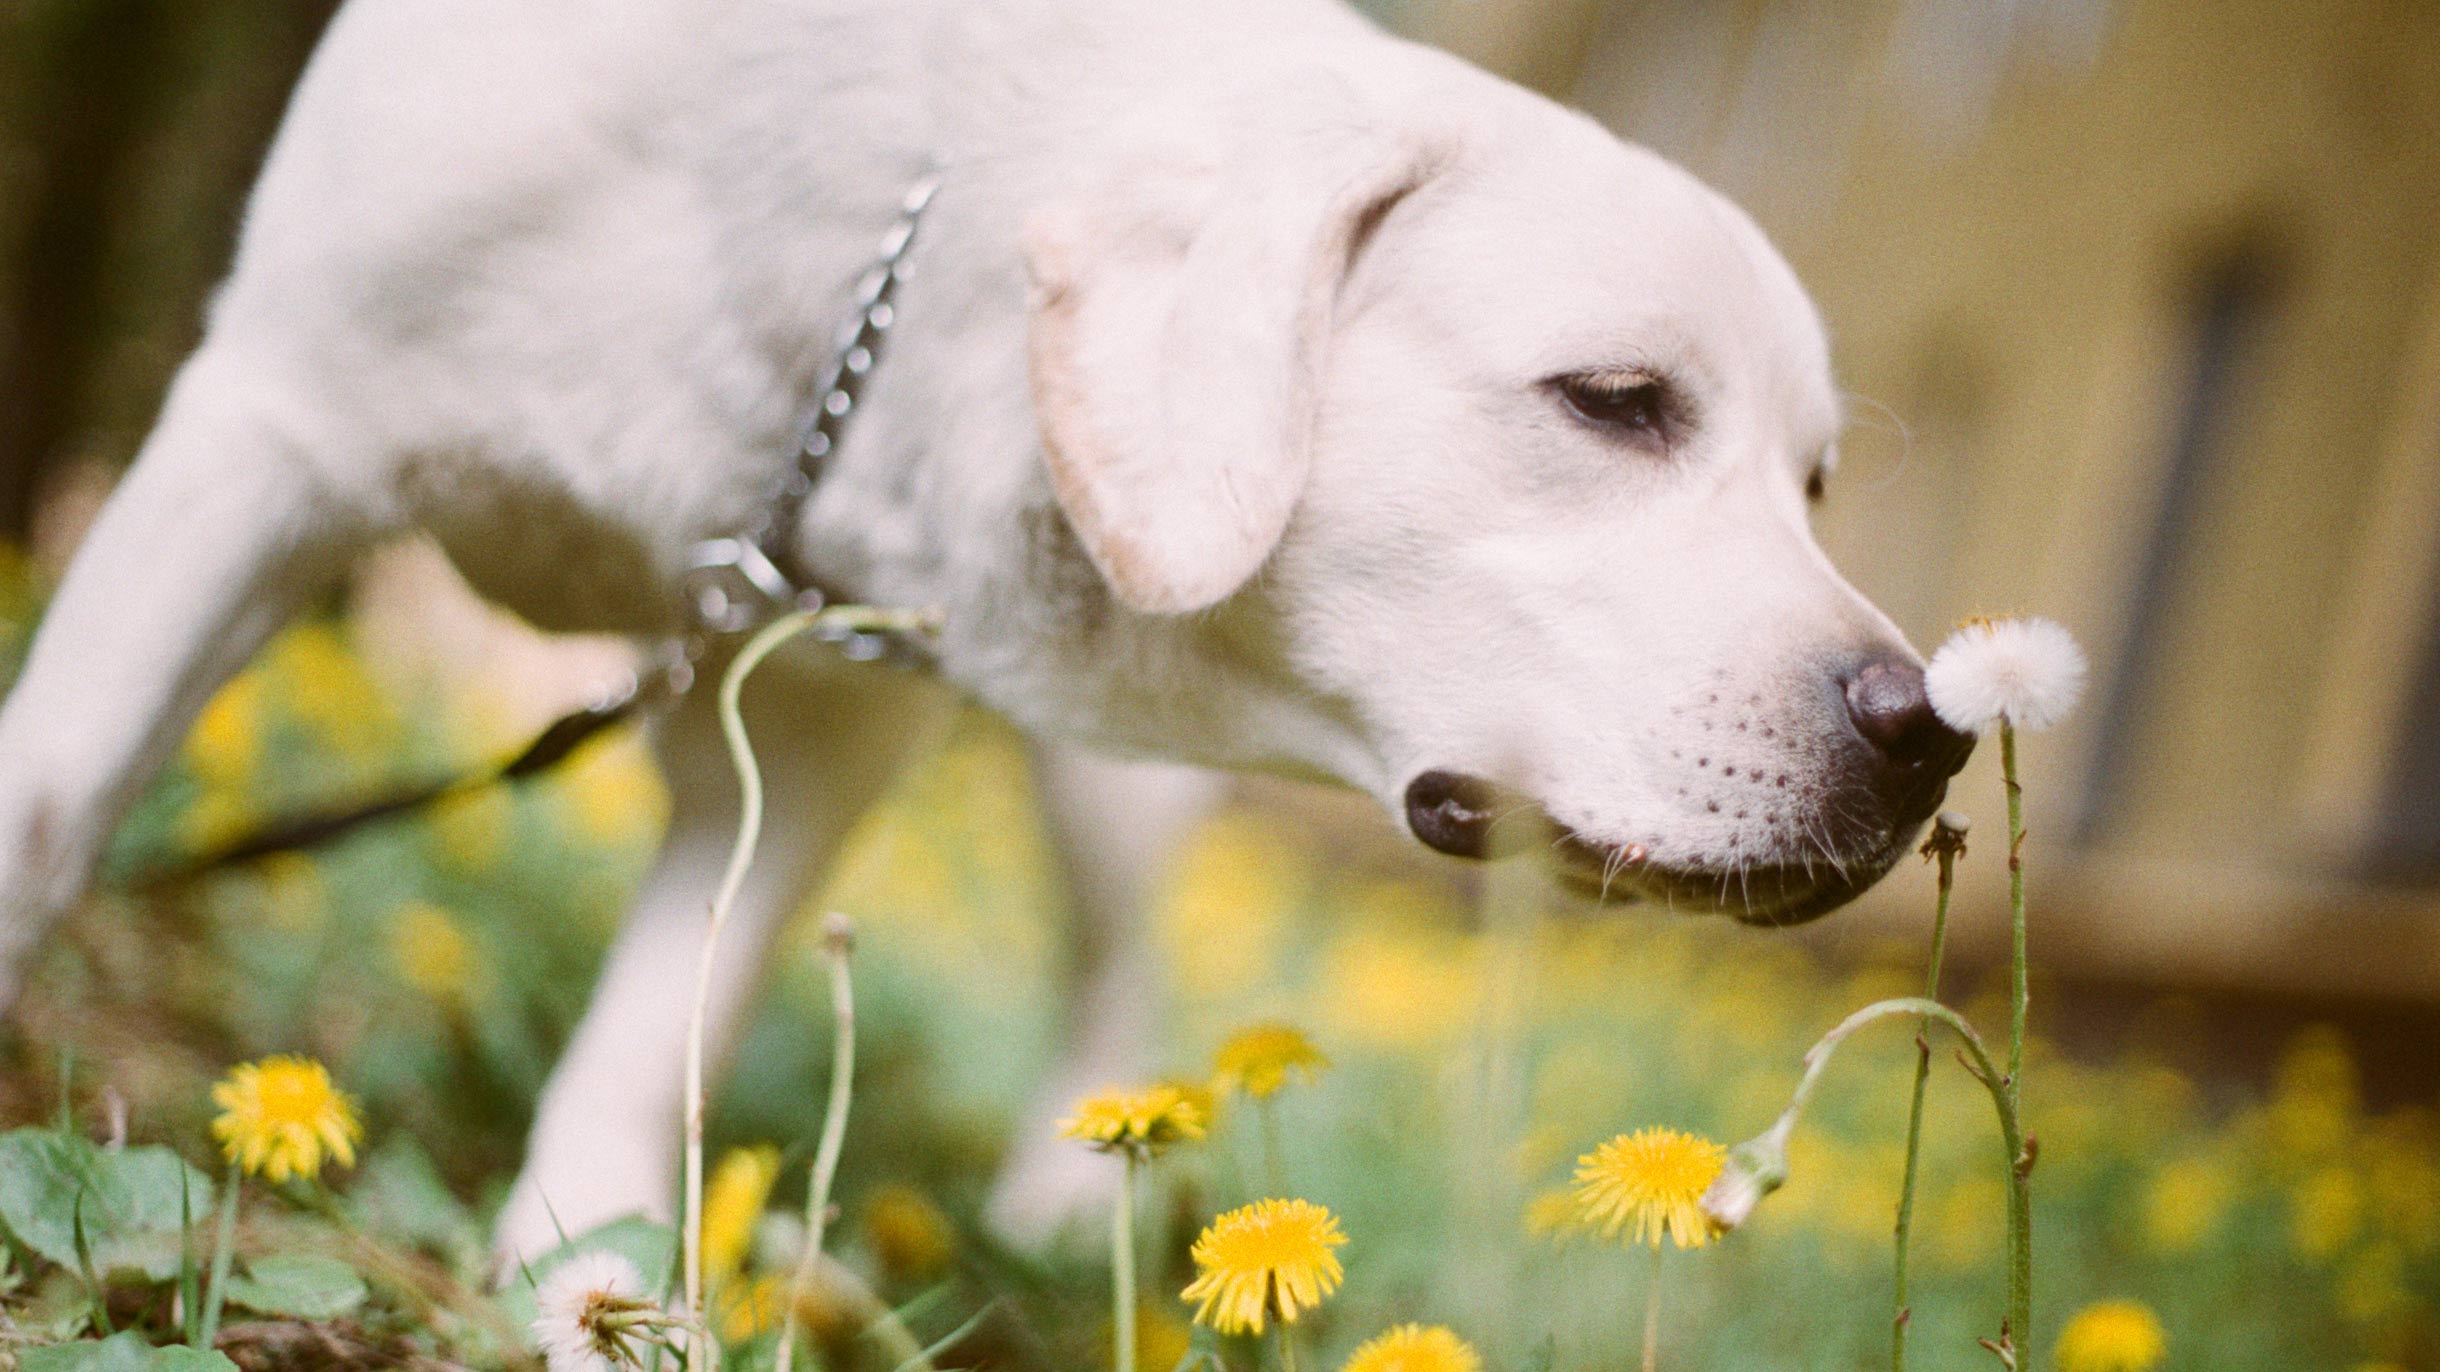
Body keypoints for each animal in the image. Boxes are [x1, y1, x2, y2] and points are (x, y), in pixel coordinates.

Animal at [0, 0, 1961, 1259]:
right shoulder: (265, 424)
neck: (877, 234)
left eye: (1812, 482)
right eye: (1618, 401)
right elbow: (53, 794)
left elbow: (665, 1019)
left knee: (1112, 967)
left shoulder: (823, 717)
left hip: (1106, 805)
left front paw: (592, 1283)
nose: (1935, 729)